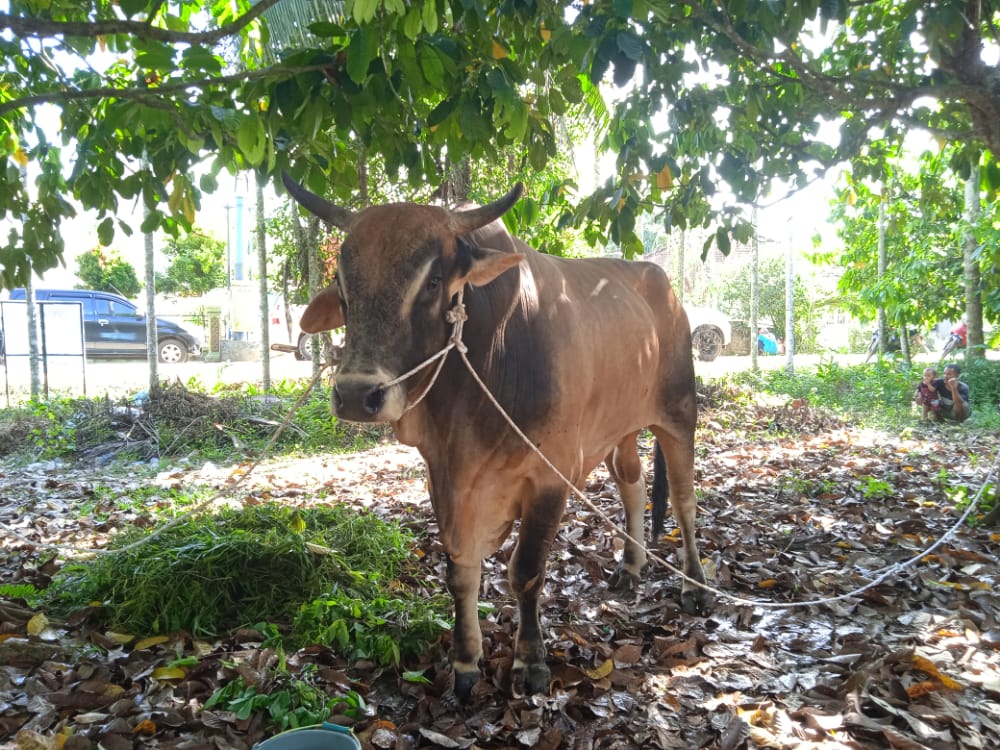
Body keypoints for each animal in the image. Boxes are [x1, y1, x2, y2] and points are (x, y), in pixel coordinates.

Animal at [284, 173, 712, 704]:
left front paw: (530, 661)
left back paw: (695, 585)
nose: (356, 394)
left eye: (432, 282)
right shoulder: (446, 479)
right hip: (622, 428)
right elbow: (460, 571)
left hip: (679, 414)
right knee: (631, 484)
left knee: (685, 500)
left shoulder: (549, 477)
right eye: (344, 286)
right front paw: (466, 662)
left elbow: (525, 573)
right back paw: (631, 569)